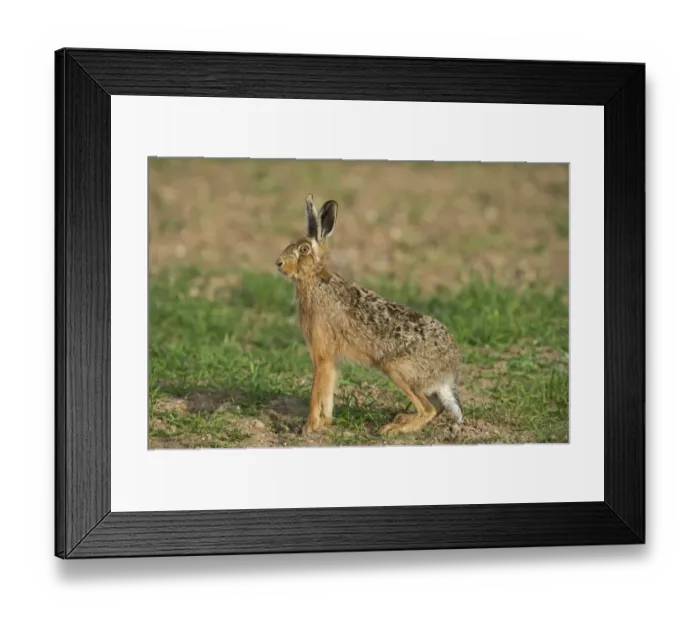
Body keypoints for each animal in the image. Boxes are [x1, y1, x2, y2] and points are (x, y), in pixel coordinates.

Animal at [276, 193, 464, 437]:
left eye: (305, 249)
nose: (279, 263)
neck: (315, 280)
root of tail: (449, 373)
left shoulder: (322, 354)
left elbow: (316, 392)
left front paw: (308, 427)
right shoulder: (332, 359)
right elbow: (328, 392)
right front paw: (325, 423)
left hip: (397, 369)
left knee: (428, 410)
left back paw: (394, 428)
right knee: (437, 408)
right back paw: (401, 418)